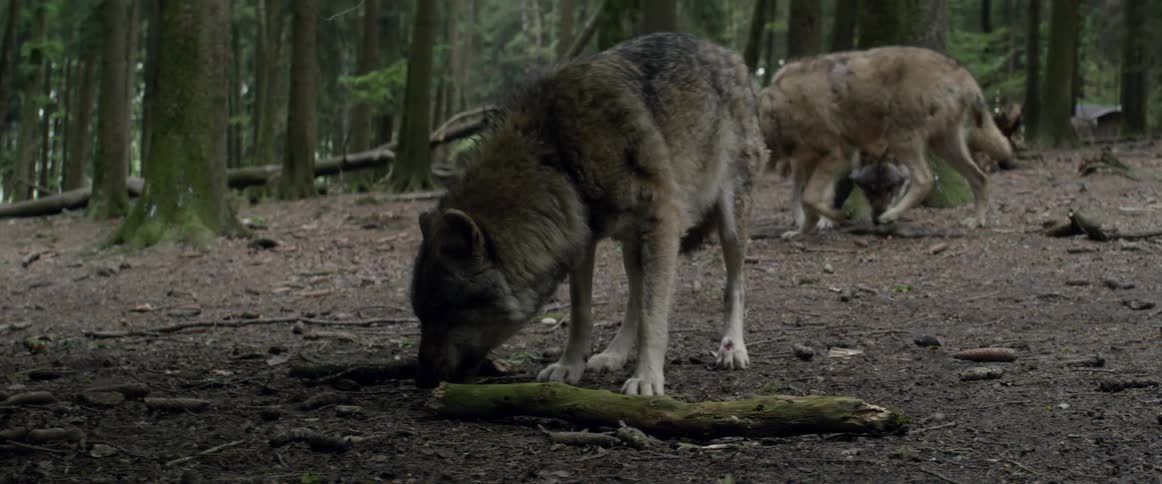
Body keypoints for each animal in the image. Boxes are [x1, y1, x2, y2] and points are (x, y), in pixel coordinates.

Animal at [410, 33, 767, 396]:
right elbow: (582, 312)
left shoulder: (663, 223)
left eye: (446, 312)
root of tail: (726, 53)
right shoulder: (580, 236)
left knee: (733, 285)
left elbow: (653, 315)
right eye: (421, 315)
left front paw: (647, 377)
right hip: (630, 245)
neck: (557, 156)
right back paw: (613, 354)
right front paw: (570, 366)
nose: (422, 379)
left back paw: (732, 348)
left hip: (729, 223)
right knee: (634, 297)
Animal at [759, 46, 1013, 237]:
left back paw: (891, 215)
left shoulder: (837, 154)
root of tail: (961, 72)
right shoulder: (806, 161)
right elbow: (800, 198)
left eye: (890, 188)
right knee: (980, 177)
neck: (777, 111)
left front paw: (833, 217)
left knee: (925, 179)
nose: (875, 220)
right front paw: (803, 229)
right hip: (943, 146)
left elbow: (810, 197)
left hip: (902, 138)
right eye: (869, 189)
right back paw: (977, 222)